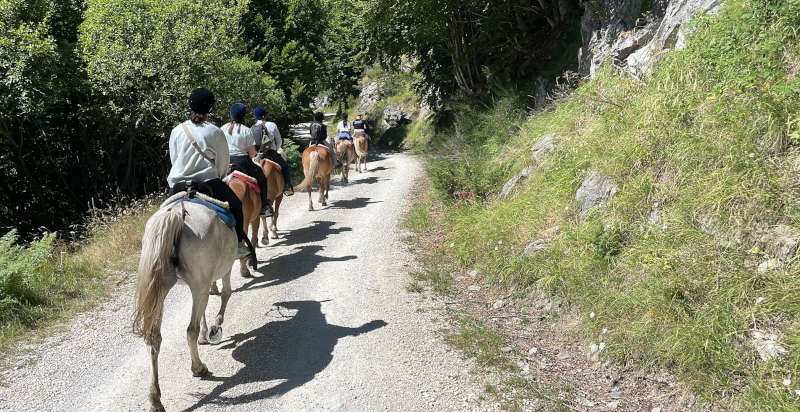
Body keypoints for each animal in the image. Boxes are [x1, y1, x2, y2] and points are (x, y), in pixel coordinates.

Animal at [132, 194, 237, 412]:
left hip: (161, 290)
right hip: (196, 284)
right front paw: (215, 327)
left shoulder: (201, 285)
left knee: (154, 339)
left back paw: (155, 399)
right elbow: (226, 294)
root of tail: (175, 215)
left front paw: (207, 333)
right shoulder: (223, 270)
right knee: (190, 330)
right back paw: (199, 368)